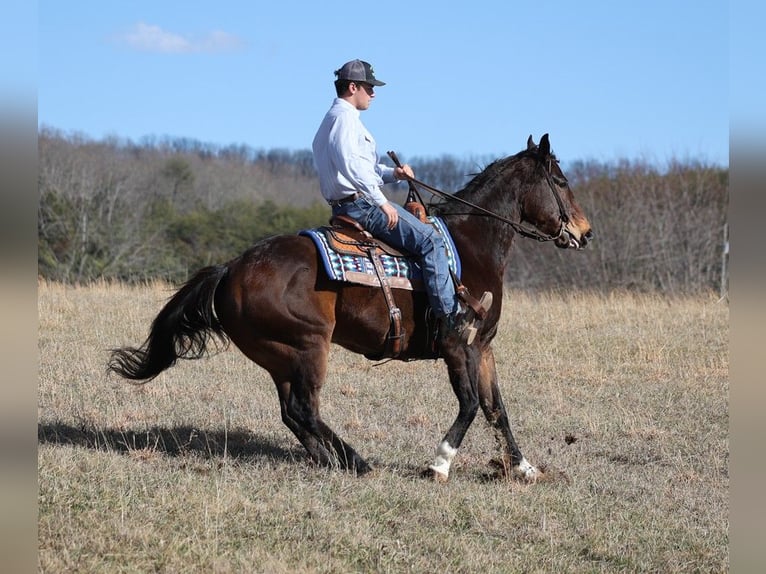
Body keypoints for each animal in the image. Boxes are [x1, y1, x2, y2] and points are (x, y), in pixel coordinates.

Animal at [108, 134, 592, 482]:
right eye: (560, 181)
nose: (584, 232)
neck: (470, 246)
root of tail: (231, 268)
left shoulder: (484, 347)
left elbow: (496, 408)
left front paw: (524, 468)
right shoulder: (460, 346)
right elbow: (471, 404)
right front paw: (438, 464)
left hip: (281, 355)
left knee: (294, 413)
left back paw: (329, 459)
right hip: (308, 347)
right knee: (304, 409)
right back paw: (355, 461)